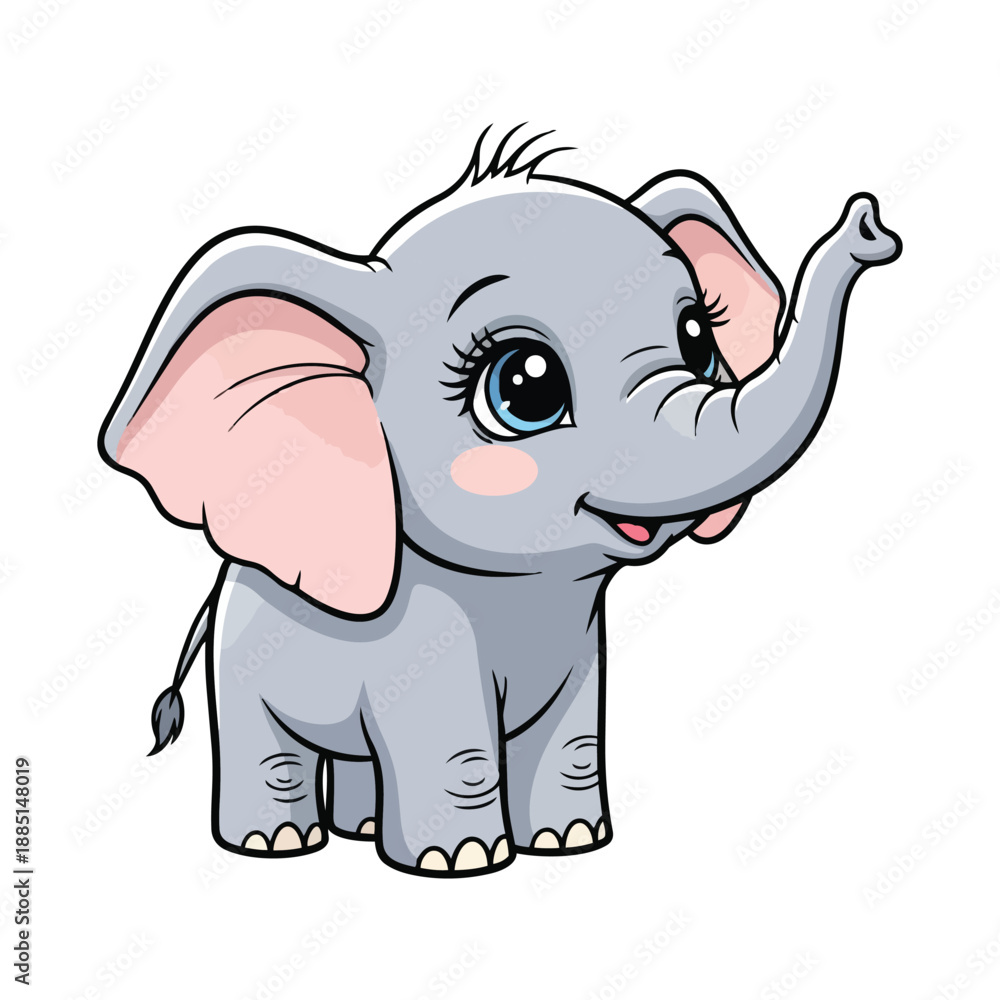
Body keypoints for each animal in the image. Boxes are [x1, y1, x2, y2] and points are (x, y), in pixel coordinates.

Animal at [98, 125, 900, 877]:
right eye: (524, 385)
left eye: (700, 337)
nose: (870, 227)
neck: (519, 591)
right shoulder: (419, 636)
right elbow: (454, 741)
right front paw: (460, 863)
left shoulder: (579, 642)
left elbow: (572, 735)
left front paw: (571, 843)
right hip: (240, 667)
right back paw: (275, 844)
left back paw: (361, 829)